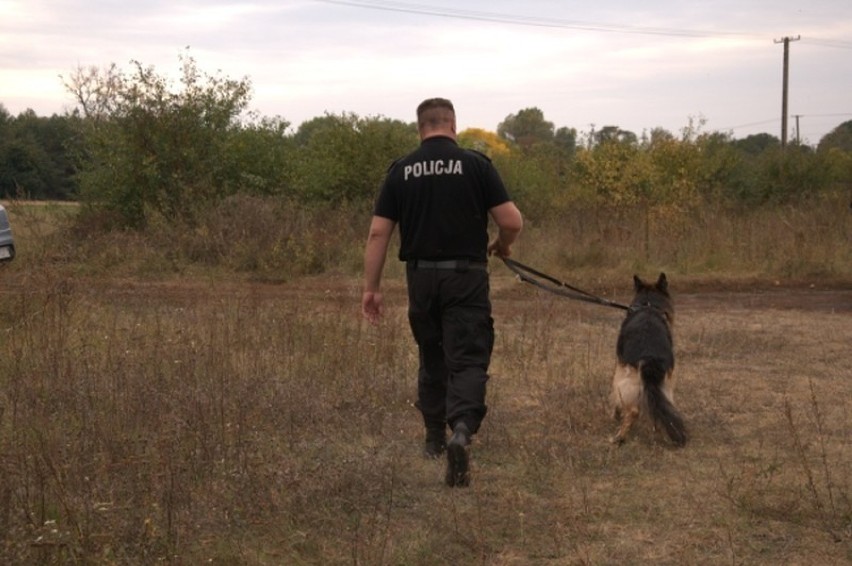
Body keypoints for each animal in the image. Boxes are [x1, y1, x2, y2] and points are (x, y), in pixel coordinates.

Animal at [612, 276, 684, 448]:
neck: (649, 306)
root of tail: (650, 355)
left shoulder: (619, 366)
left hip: (623, 377)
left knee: (633, 411)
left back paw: (620, 437)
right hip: (666, 384)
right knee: (661, 407)